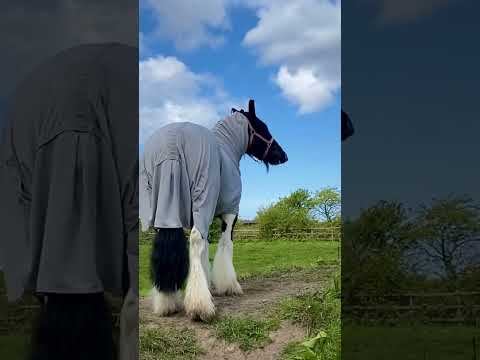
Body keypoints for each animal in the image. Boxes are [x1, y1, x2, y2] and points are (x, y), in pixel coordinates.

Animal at [140, 99, 288, 320]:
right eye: (263, 127)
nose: (283, 156)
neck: (226, 149)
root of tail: (172, 144)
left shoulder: (203, 217)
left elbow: (205, 249)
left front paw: (208, 285)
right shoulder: (229, 212)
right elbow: (225, 246)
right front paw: (228, 286)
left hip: (165, 209)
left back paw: (167, 302)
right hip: (201, 200)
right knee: (194, 241)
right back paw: (199, 307)